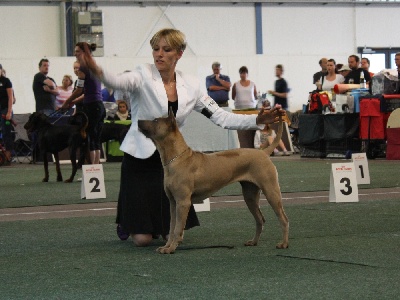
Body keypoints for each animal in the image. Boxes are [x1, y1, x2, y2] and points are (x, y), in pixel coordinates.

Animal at [138, 109, 288, 254]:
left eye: (155, 120)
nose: (138, 120)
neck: (176, 158)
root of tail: (263, 152)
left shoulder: (182, 202)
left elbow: (177, 228)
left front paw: (171, 248)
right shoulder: (173, 202)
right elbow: (171, 226)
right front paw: (166, 246)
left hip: (271, 191)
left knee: (283, 219)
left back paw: (284, 243)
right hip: (250, 195)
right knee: (260, 219)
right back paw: (253, 241)